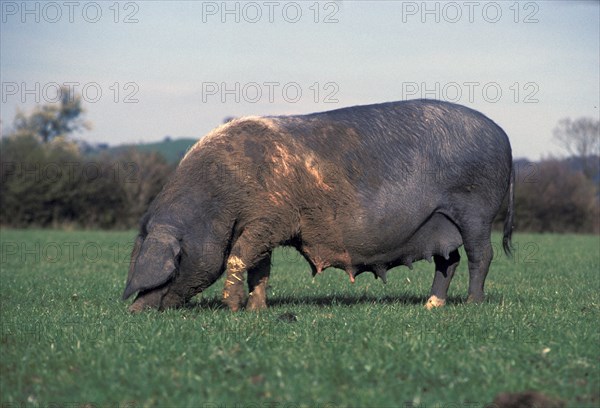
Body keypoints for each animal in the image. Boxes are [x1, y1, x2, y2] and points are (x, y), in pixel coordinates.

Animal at [123, 99, 516, 312]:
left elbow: (238, 256)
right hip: (440, 222)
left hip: (476, 208)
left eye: (175, 263)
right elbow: (259, 267)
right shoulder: (267, 225)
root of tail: (505, 136)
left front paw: (232, 308)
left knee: (482, 255)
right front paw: (257, 310)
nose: (135, 310)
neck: (218, 201)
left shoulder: (270, 219)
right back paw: (432, 305)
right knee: (448, 260)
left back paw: (472, 303)